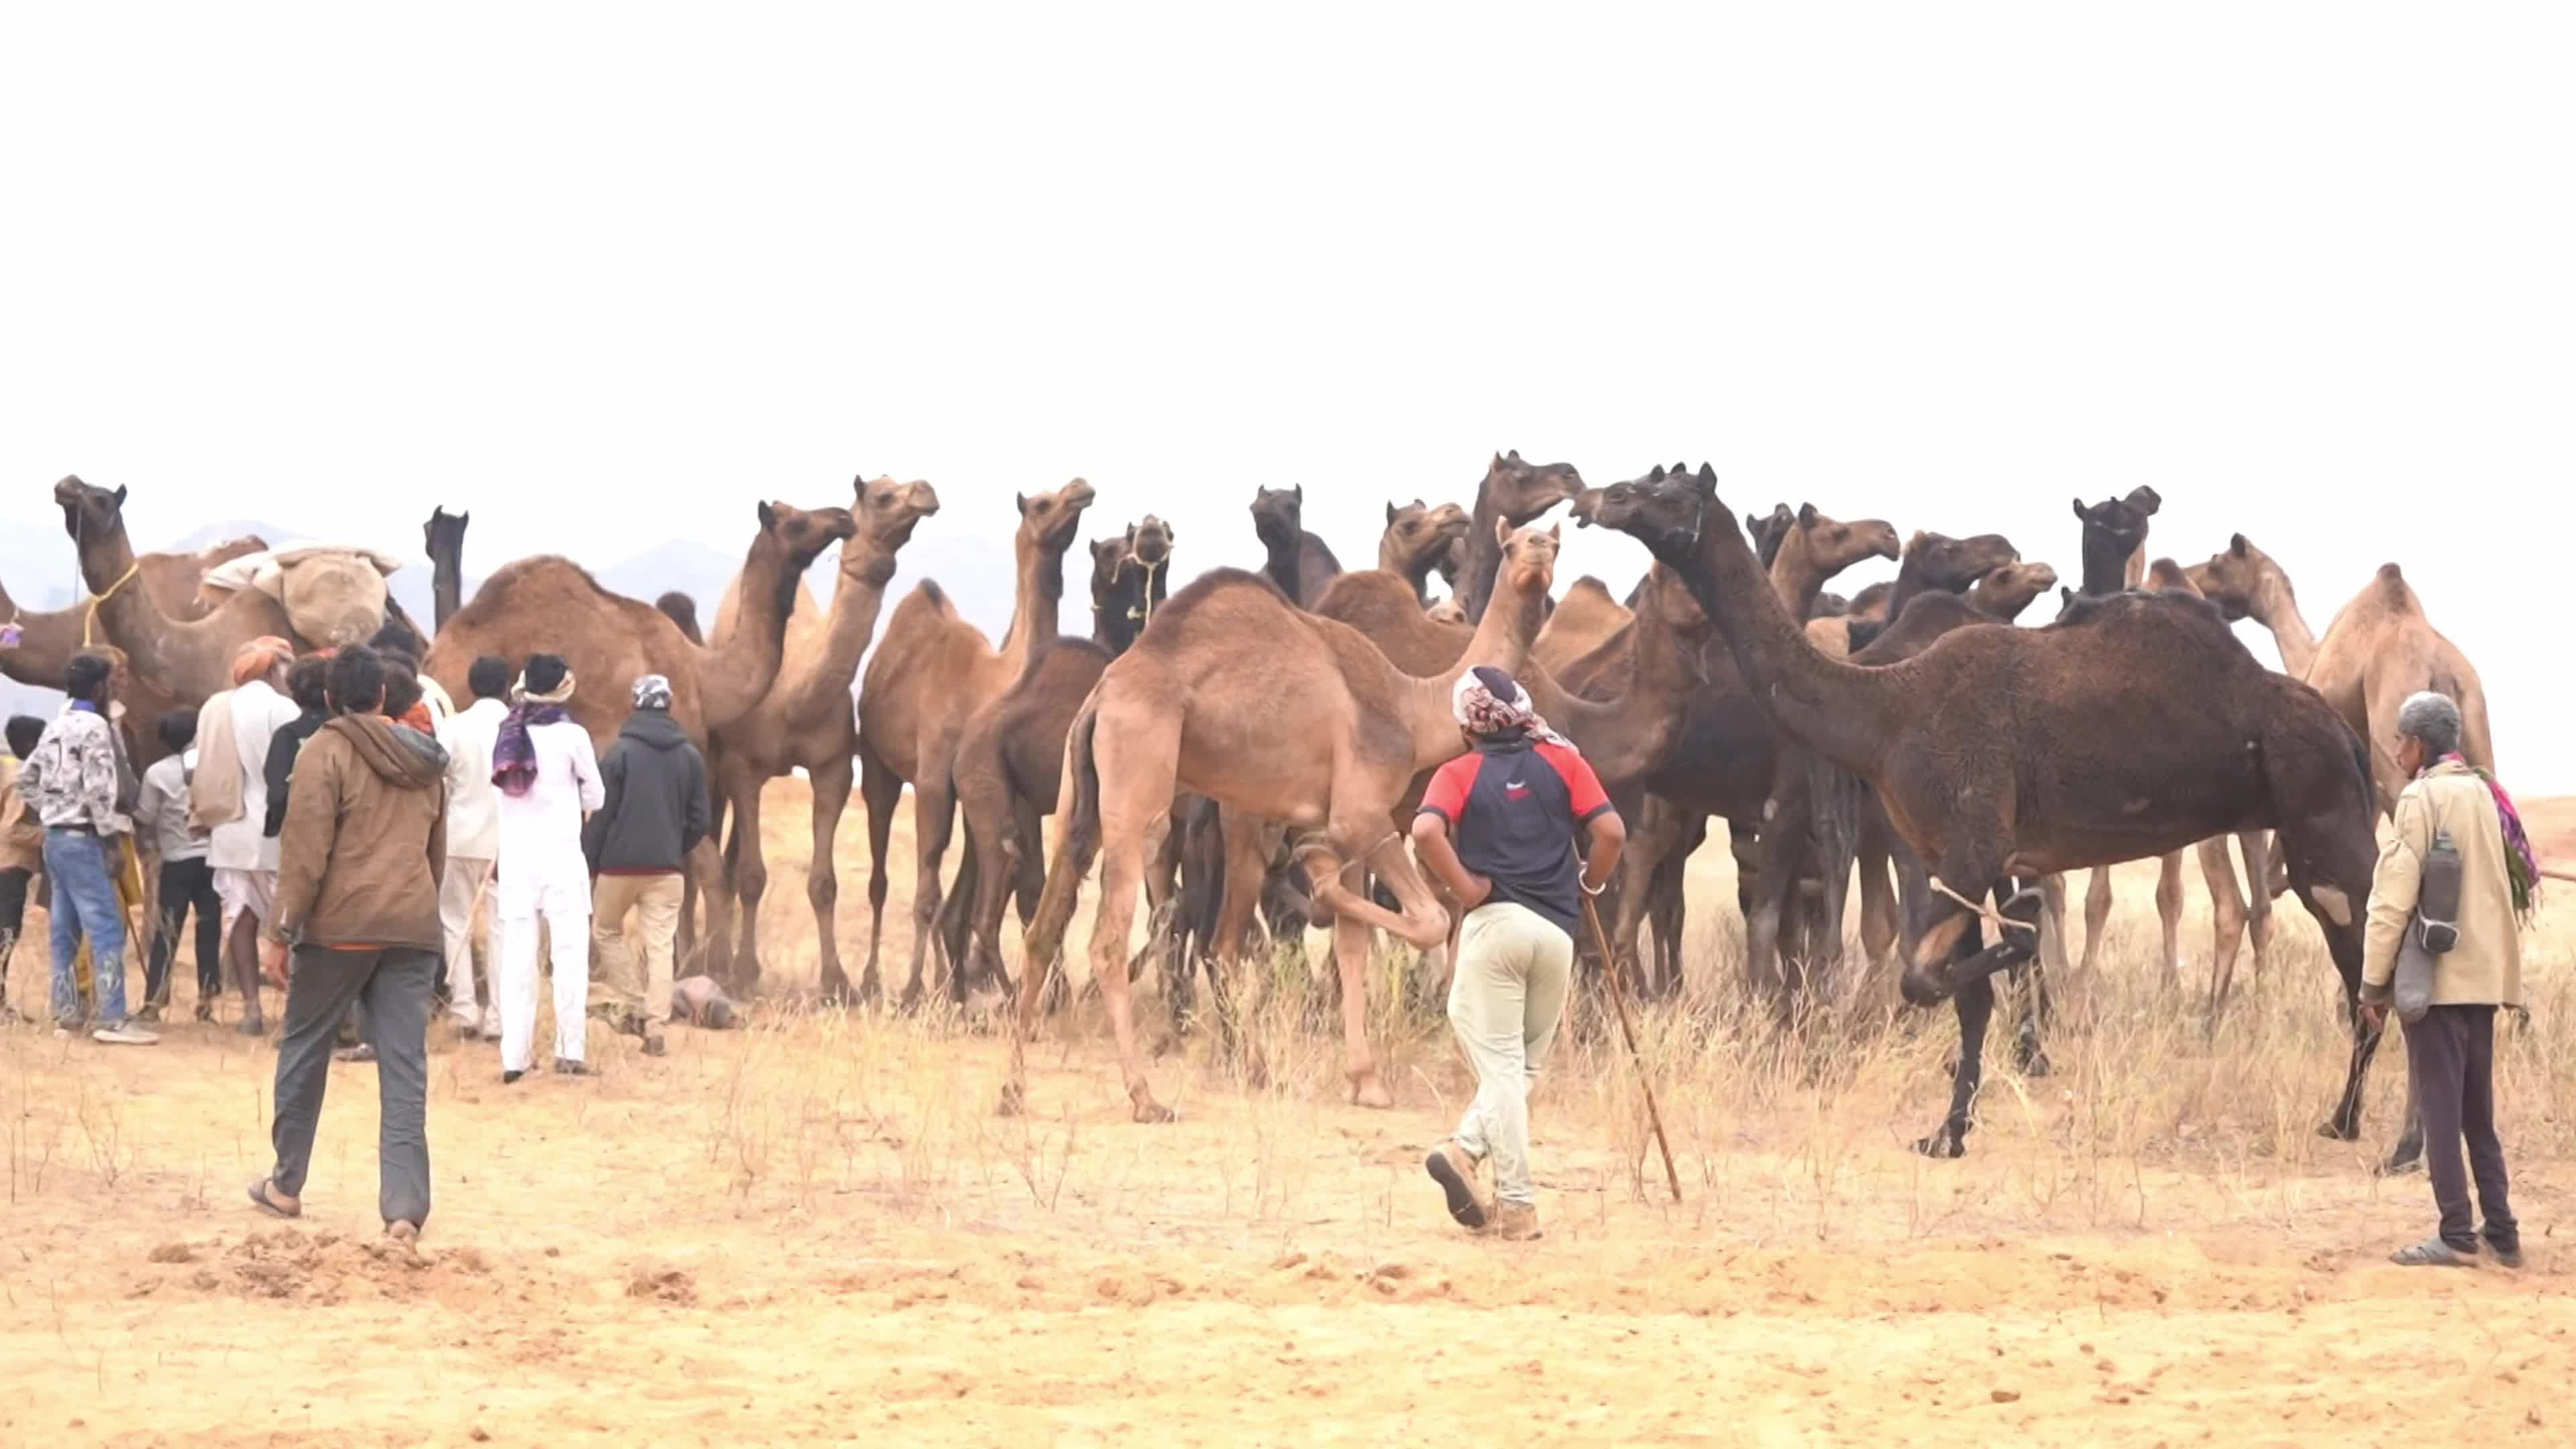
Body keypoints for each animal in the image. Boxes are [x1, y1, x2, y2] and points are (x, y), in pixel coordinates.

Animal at [692, 475, 941, 994]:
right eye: (881, 496)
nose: (926, 491)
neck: (795, 694)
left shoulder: (833, 768)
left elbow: (822, 883)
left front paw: (837, 982)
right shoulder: (742, 766)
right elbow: (752, 876)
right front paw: (745, 971)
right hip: (714, 763)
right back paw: (709, 955)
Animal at [857, 478, 1098, 1006]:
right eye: (1042, 504)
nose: (1081, 488)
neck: (992, 681)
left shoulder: (993, 795)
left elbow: (996, 891)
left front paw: (955, 990)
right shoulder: (933, 780)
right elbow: (930, 891)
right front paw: (915, 992)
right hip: (877, 765)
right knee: (882, 876)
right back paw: (876, 982)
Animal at [951, 516, 1176, 1000]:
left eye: (1168, 531)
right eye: (1110, 549)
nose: (1150, 533)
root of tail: (962, 746)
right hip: (985, 781)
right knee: (999, 891)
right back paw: (1012, 994)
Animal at [1007, 523, 1566, 1121]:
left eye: (1553, 542)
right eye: (1513, 544)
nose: (1537, 555)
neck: (1413, 709)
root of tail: (1102, 698)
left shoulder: (1348, 830)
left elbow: (1353, 943)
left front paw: (1366, 1081)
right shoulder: (1363, 814)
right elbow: (1430, 920)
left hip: (1083, 799)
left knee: (1049, 930)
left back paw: (1013, 1089)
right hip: (1139, 779)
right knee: (1117, 938)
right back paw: (1146, 1097)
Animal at [1587, 464, 2385, 1158]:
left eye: (1668, 493)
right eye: (1645, 482)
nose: (1606, 498)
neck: (1886, 710)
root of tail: (2341, 729)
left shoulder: (1974, 843)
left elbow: (1928, 974)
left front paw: (2022, 954)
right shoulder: (1945, 856)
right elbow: (1962, 997)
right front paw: (1947, 1135)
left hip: (2326, 816)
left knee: (2371, 953)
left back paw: (2365, 1130)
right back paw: (2348, 1121)